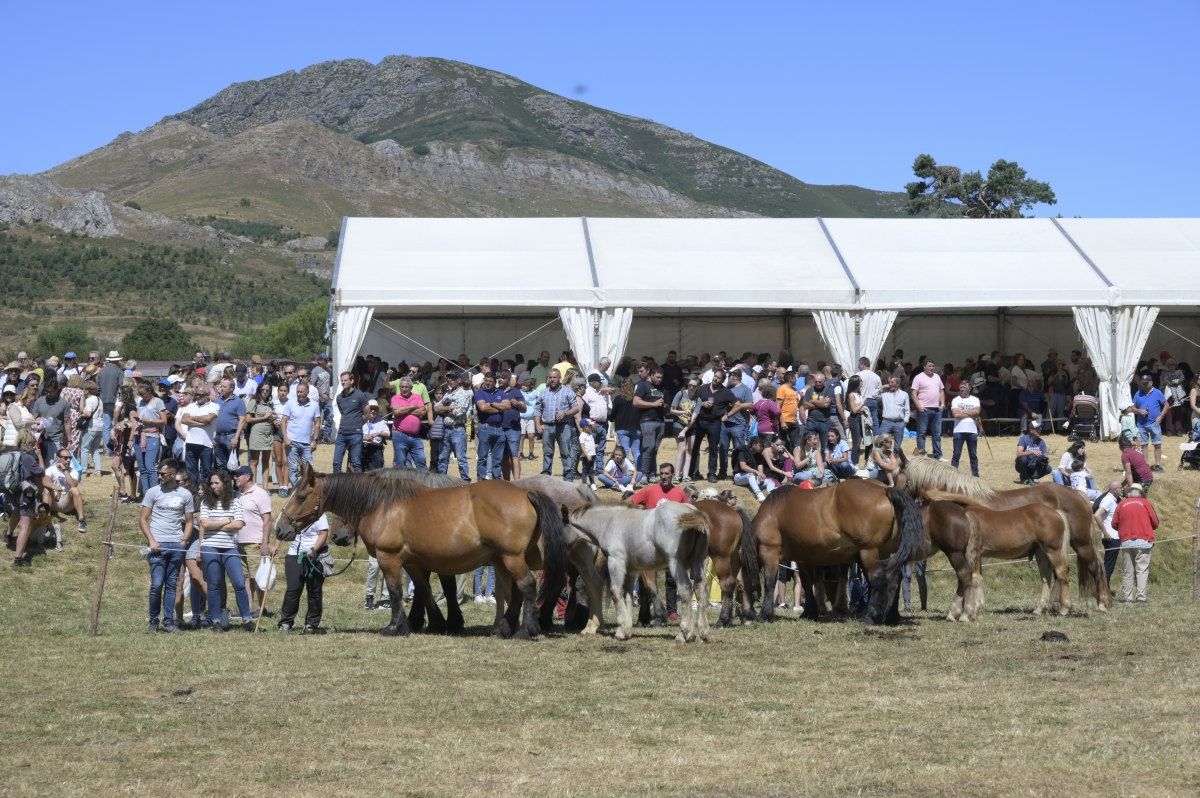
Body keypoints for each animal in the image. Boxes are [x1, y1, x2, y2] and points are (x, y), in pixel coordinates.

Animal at [276, 460, 566, 643]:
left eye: (300, 497)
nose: (280, 529)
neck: (383, 505)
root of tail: (526, 493)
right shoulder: (414, 562)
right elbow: (423, 590)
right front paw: (435, 623)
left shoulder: (389, 558)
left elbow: (396, 591)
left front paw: (395, 627)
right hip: (506, 560)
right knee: (514, 592)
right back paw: (504, 628)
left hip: (511, 558)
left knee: (527, 586)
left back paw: (526, 630)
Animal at [561, 504, 710, 643]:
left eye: (559, 529)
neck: (608, 523)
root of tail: (692, 510)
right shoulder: (632, 570)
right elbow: (627, 595)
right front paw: (626, 630)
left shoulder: (616, 561)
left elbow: (616, 592)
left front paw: (621, 630)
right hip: (698, 561)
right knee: (701, 591)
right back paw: (702, 632)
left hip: (675, 562)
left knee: (685, 589)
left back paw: (684, 633)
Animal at [739, 475, 926, 624]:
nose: (746, 612)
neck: (772, 512)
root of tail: (885, 490)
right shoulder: (803, 557)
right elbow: (807, 583)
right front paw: (809, 612)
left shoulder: (769, 551)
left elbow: (770, 582)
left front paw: (765, 614)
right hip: (885, 552)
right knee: (893, 579)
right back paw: (889, 616)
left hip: (869, 551)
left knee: (878, 580)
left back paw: (870, 617)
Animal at [897, 453, 1108, 609]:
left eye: (898, 475)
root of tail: (1079, 494)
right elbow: (977, 576)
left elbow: (974, 576)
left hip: (1081, 543)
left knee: (1094, 566)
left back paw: (1101, 603)